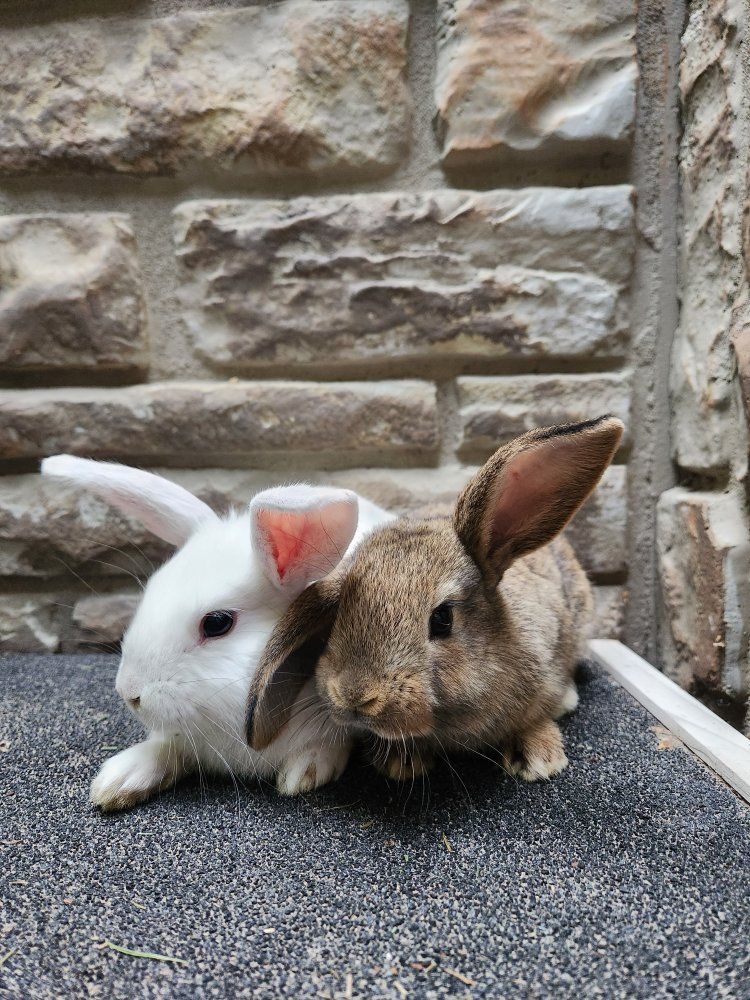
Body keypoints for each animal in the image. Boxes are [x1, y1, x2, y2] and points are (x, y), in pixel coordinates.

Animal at [247, 416, 623, 785]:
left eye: (442, 619)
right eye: (337, 614)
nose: (355, 696)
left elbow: (535, 716)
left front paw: (539, 758)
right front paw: (401, 763)